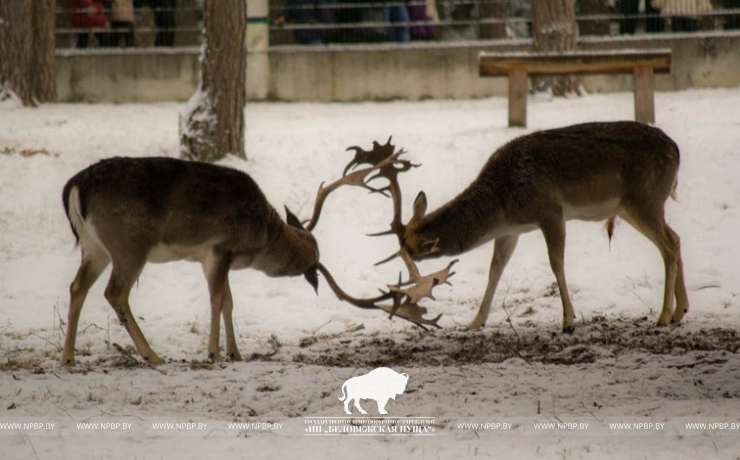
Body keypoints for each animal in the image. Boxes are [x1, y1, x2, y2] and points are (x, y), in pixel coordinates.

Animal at [372, 120, 692, 332]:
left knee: (667, 247)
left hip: (645, 199)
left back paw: (663, 316)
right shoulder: (510, 230)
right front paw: (475, 321)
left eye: (410, 250)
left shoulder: (551, 212)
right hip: (632, 207)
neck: (503, 202)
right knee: (676, 238)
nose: (405, 259)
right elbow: (495, 269)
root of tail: (676, 151)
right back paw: (681, 310)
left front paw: (568, 320)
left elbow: (556, 263)